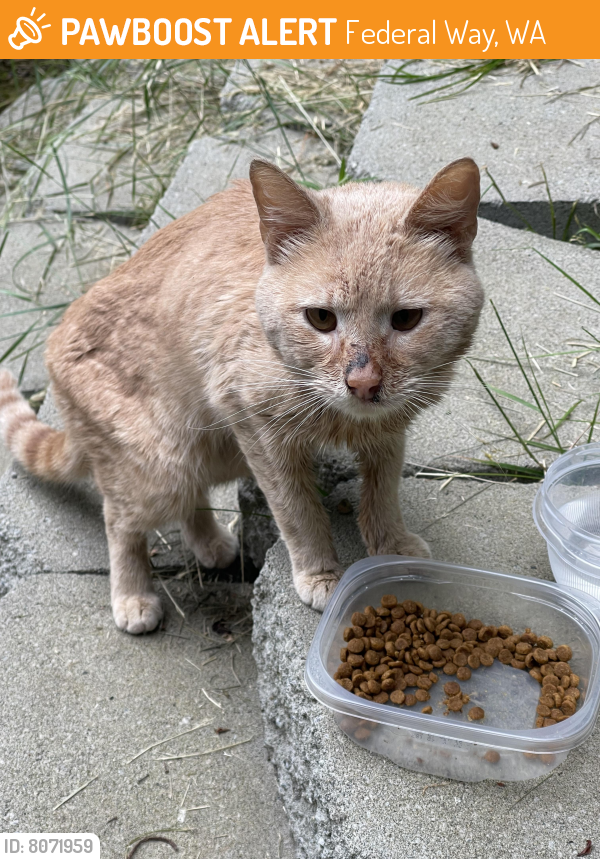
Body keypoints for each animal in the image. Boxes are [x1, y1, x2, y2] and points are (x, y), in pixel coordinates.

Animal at [0, 158, 482, 636]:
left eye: (406, 319)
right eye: (321, 318)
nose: (362, 382)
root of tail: (54, 341)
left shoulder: (387, 431)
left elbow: (381, 493)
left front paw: (391, 548)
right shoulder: (257, 430)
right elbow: (297, 511)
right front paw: (321, 573)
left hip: (212, 453)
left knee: (190, 503)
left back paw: (211, 544)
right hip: (162, 468)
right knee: (120, 519)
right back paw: (132, 596)